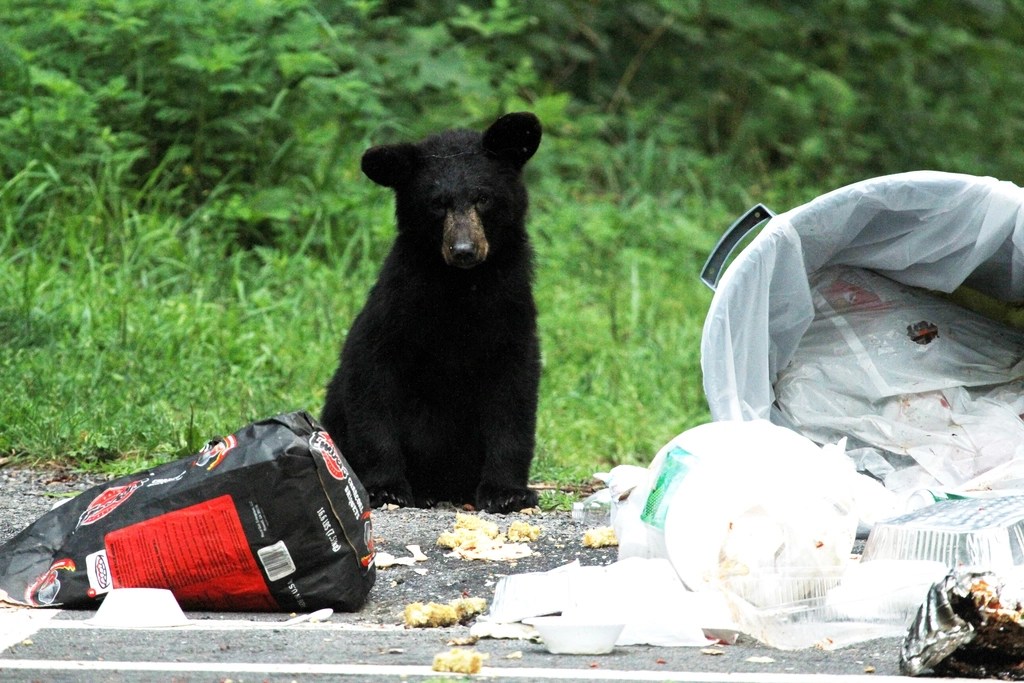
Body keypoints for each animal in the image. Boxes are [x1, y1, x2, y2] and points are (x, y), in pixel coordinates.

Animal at [320, 112, 543, 514]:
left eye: (482, 198)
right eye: (437, 203)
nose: (464, 250)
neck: (461, 287)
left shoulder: (511, 312)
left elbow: (515, 398)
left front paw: (508, 492)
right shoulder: (398, 308)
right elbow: (371, 380)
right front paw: (386, 488)